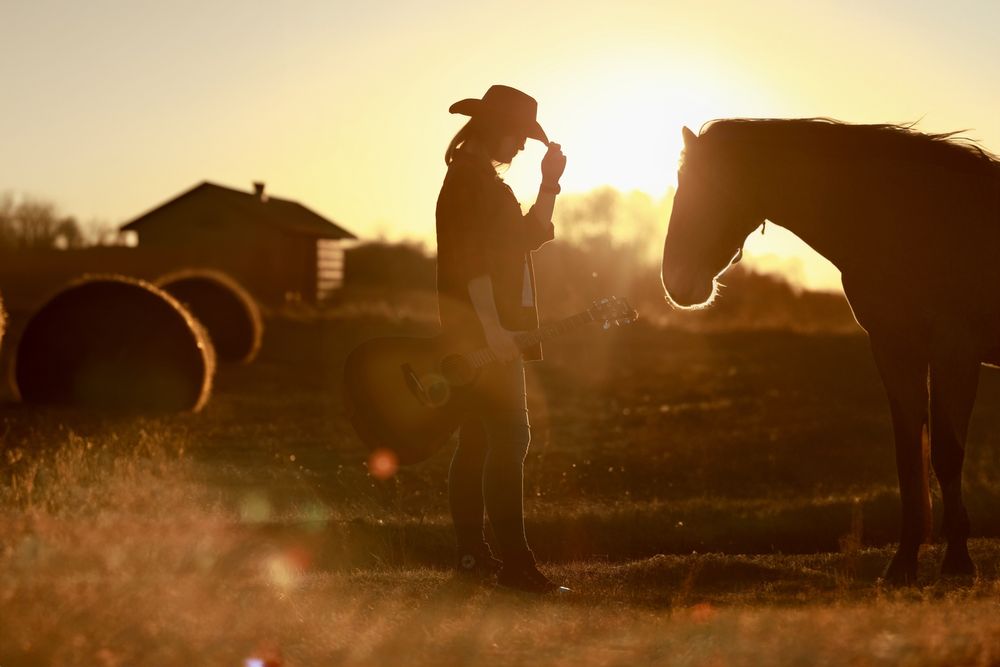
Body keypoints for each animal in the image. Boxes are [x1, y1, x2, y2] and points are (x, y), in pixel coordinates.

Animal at [664, 120, 1000, 584]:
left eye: (708, 186)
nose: (674, 281)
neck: (915, 220)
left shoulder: (955, 351)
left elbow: (947, 454)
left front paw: (958, 564)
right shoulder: (896, 349)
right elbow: (909, 456)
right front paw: (903, 564)